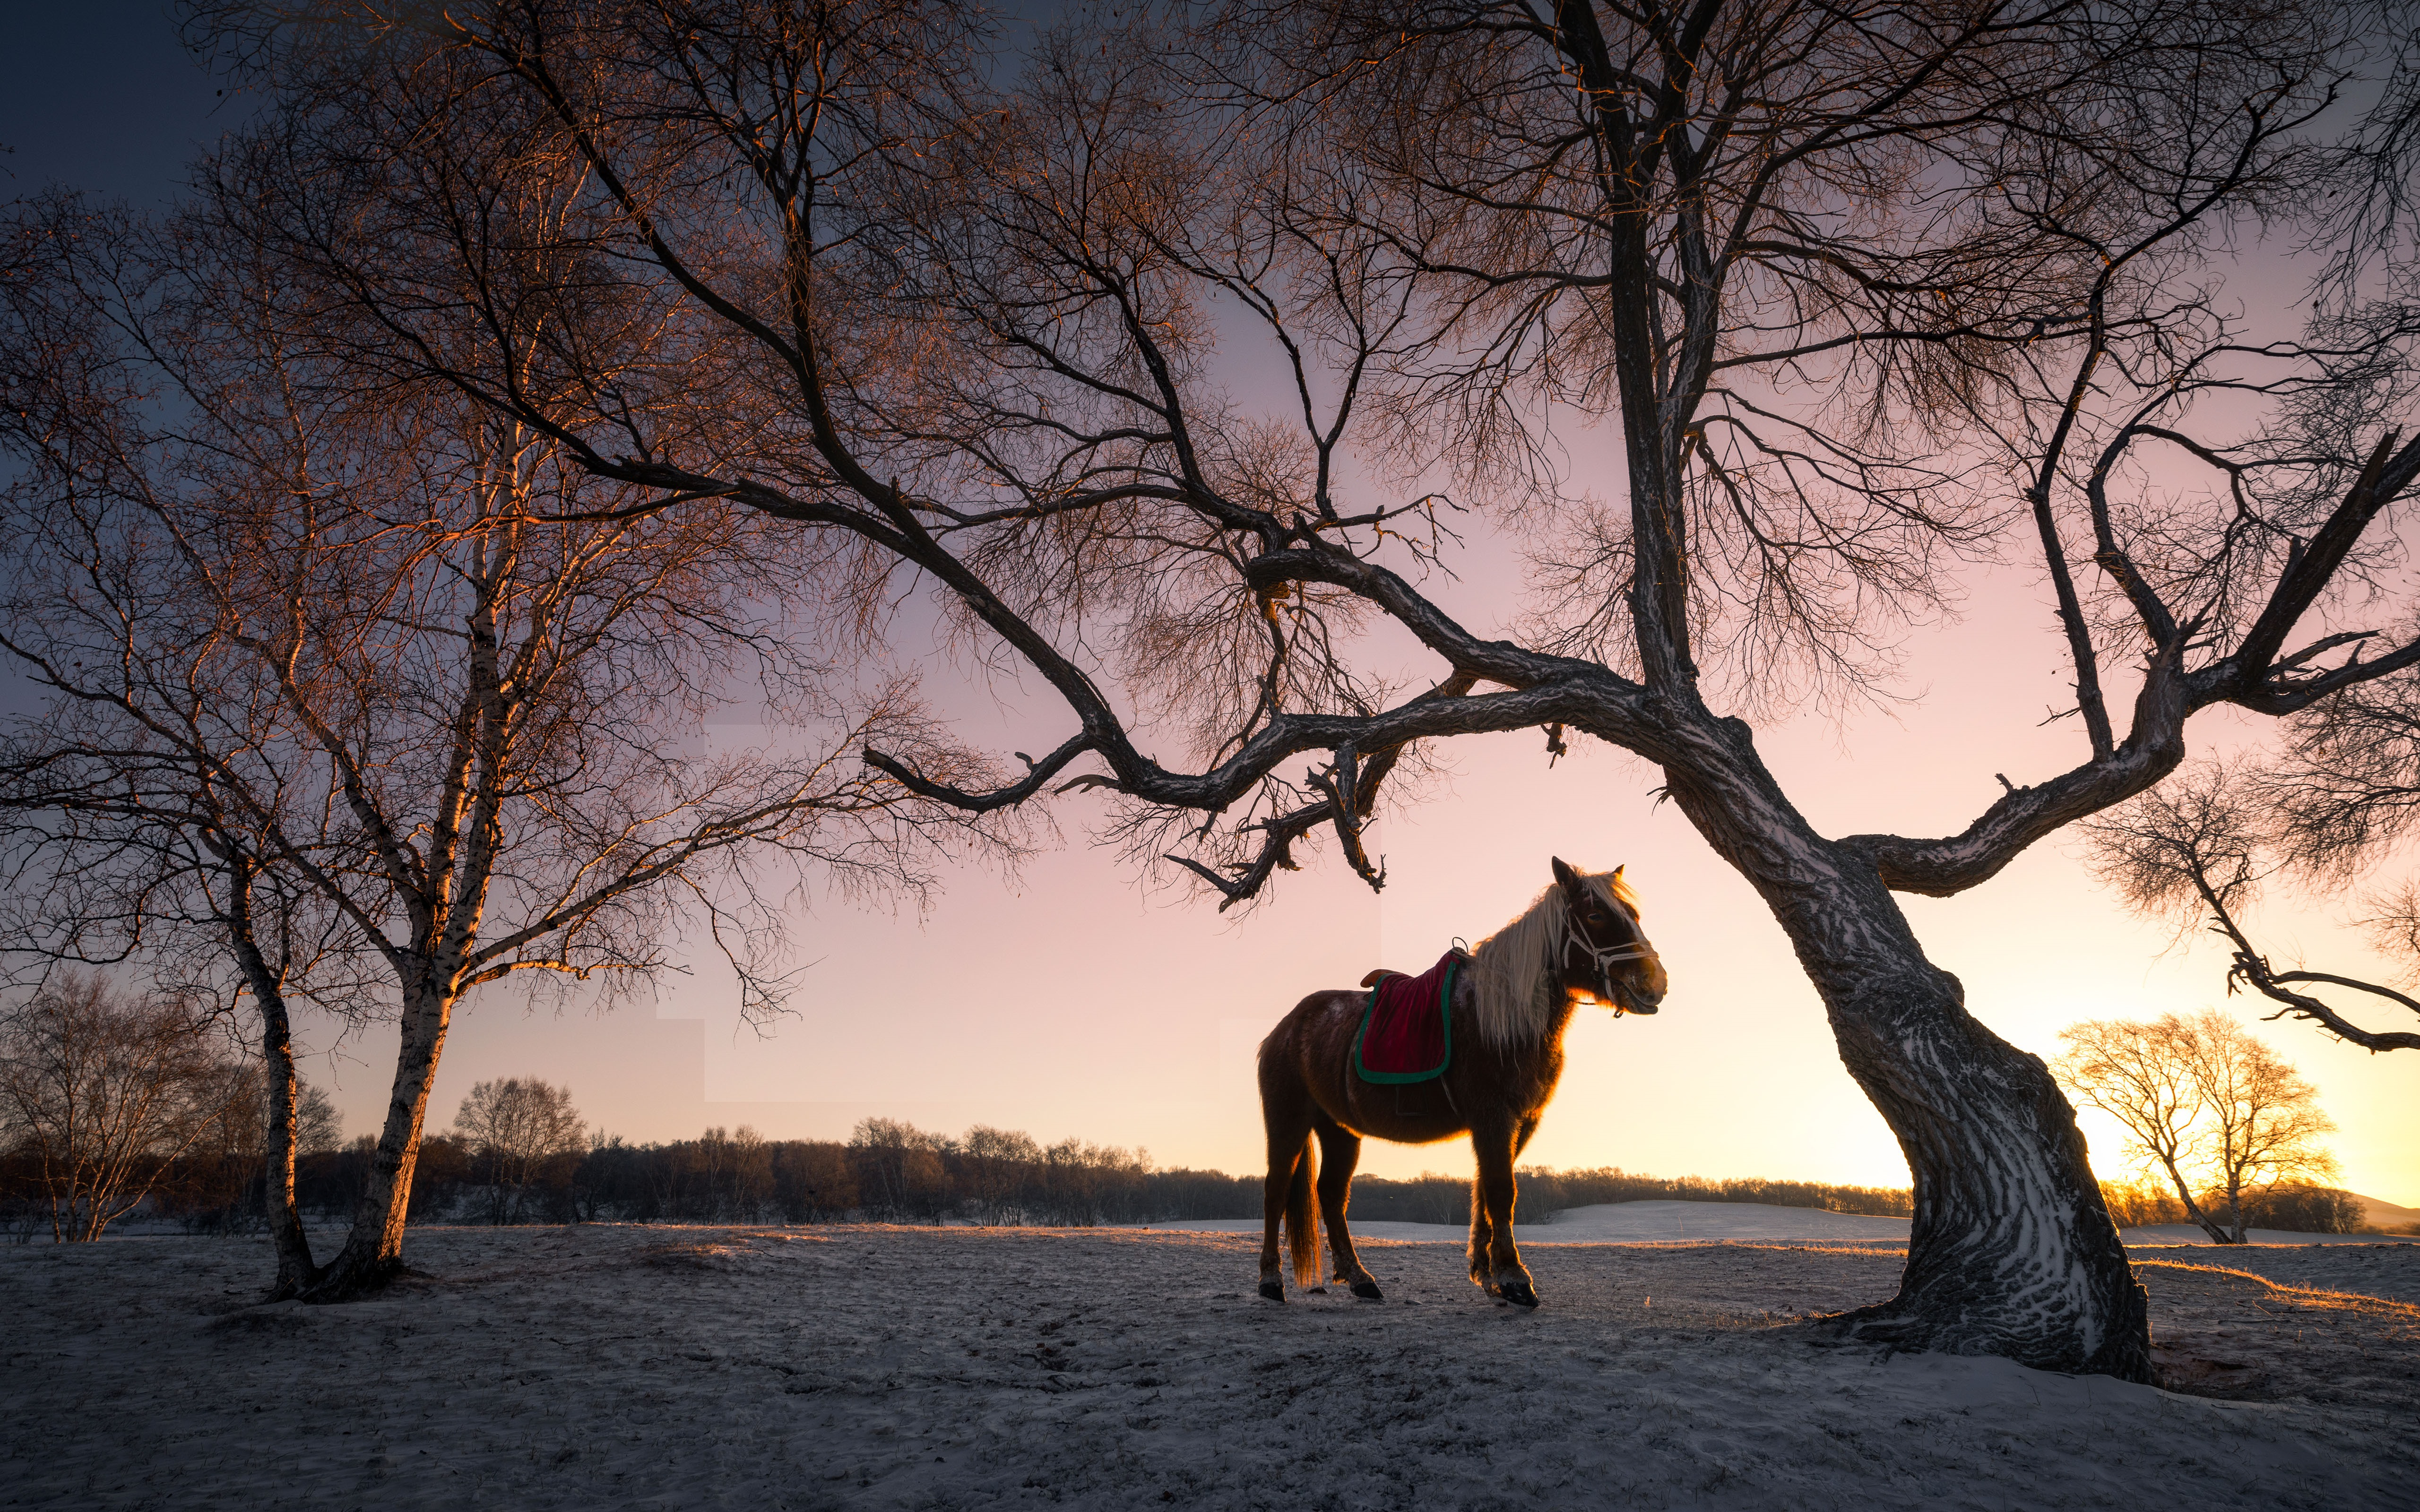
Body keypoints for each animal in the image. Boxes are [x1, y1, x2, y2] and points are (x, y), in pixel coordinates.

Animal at [1248, 856, 1665, 1306]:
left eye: (1634, 915)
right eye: (1595, 916)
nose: (1654, 983)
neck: (1502, 1016)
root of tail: (1286, 1028)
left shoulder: (1520, 1123)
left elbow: (1484, 1191)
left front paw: (1488, 1273)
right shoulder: (1494, 1118)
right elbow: (1500, 1191)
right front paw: (1515, 1278)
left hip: (1340, 1129)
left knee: (1331, 1194)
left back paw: (1360, 1278)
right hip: (1288, 1120)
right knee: (1276, 1190)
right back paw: (1270, 1281)